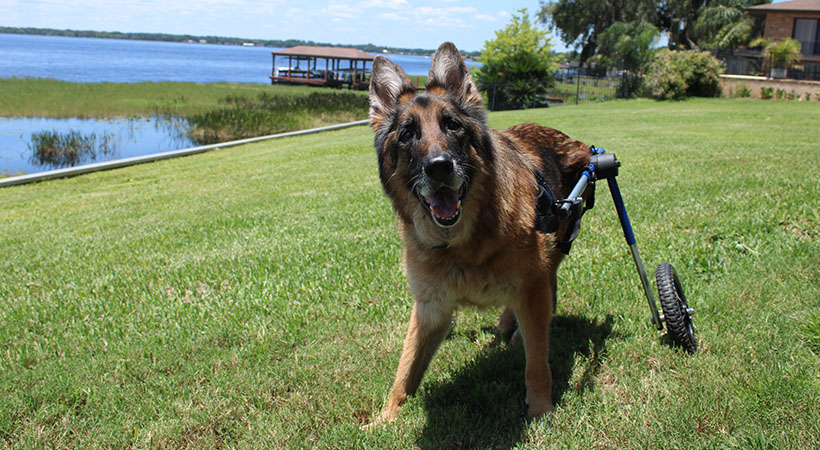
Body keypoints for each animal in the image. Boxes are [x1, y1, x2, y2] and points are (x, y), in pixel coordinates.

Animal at [368, 41, 592, 422]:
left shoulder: (531, 285)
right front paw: (386, 418)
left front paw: (541, 409)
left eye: (452, 125)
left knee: (547, 292)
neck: (462, 244)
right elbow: (405, 369)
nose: (439, 168)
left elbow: (537, 364)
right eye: (408, 133)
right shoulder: (430, 310)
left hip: (555, 248)